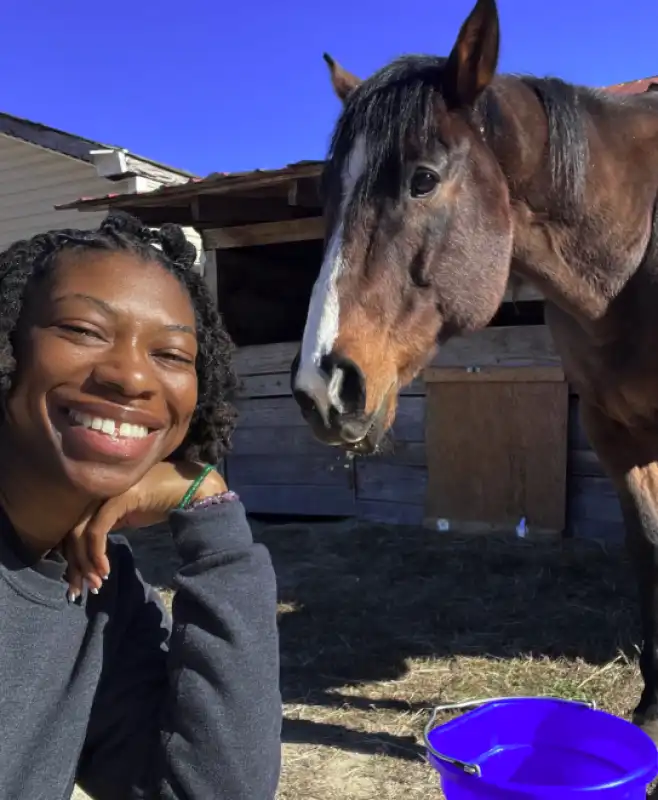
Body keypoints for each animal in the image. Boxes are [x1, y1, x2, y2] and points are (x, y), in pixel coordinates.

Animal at [288, 0, 658, 736]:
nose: (322, 386)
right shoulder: (615, 434)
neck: (636, 257)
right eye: (326, 193)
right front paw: (654, 709)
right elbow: (650, 557)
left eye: (422, 178)